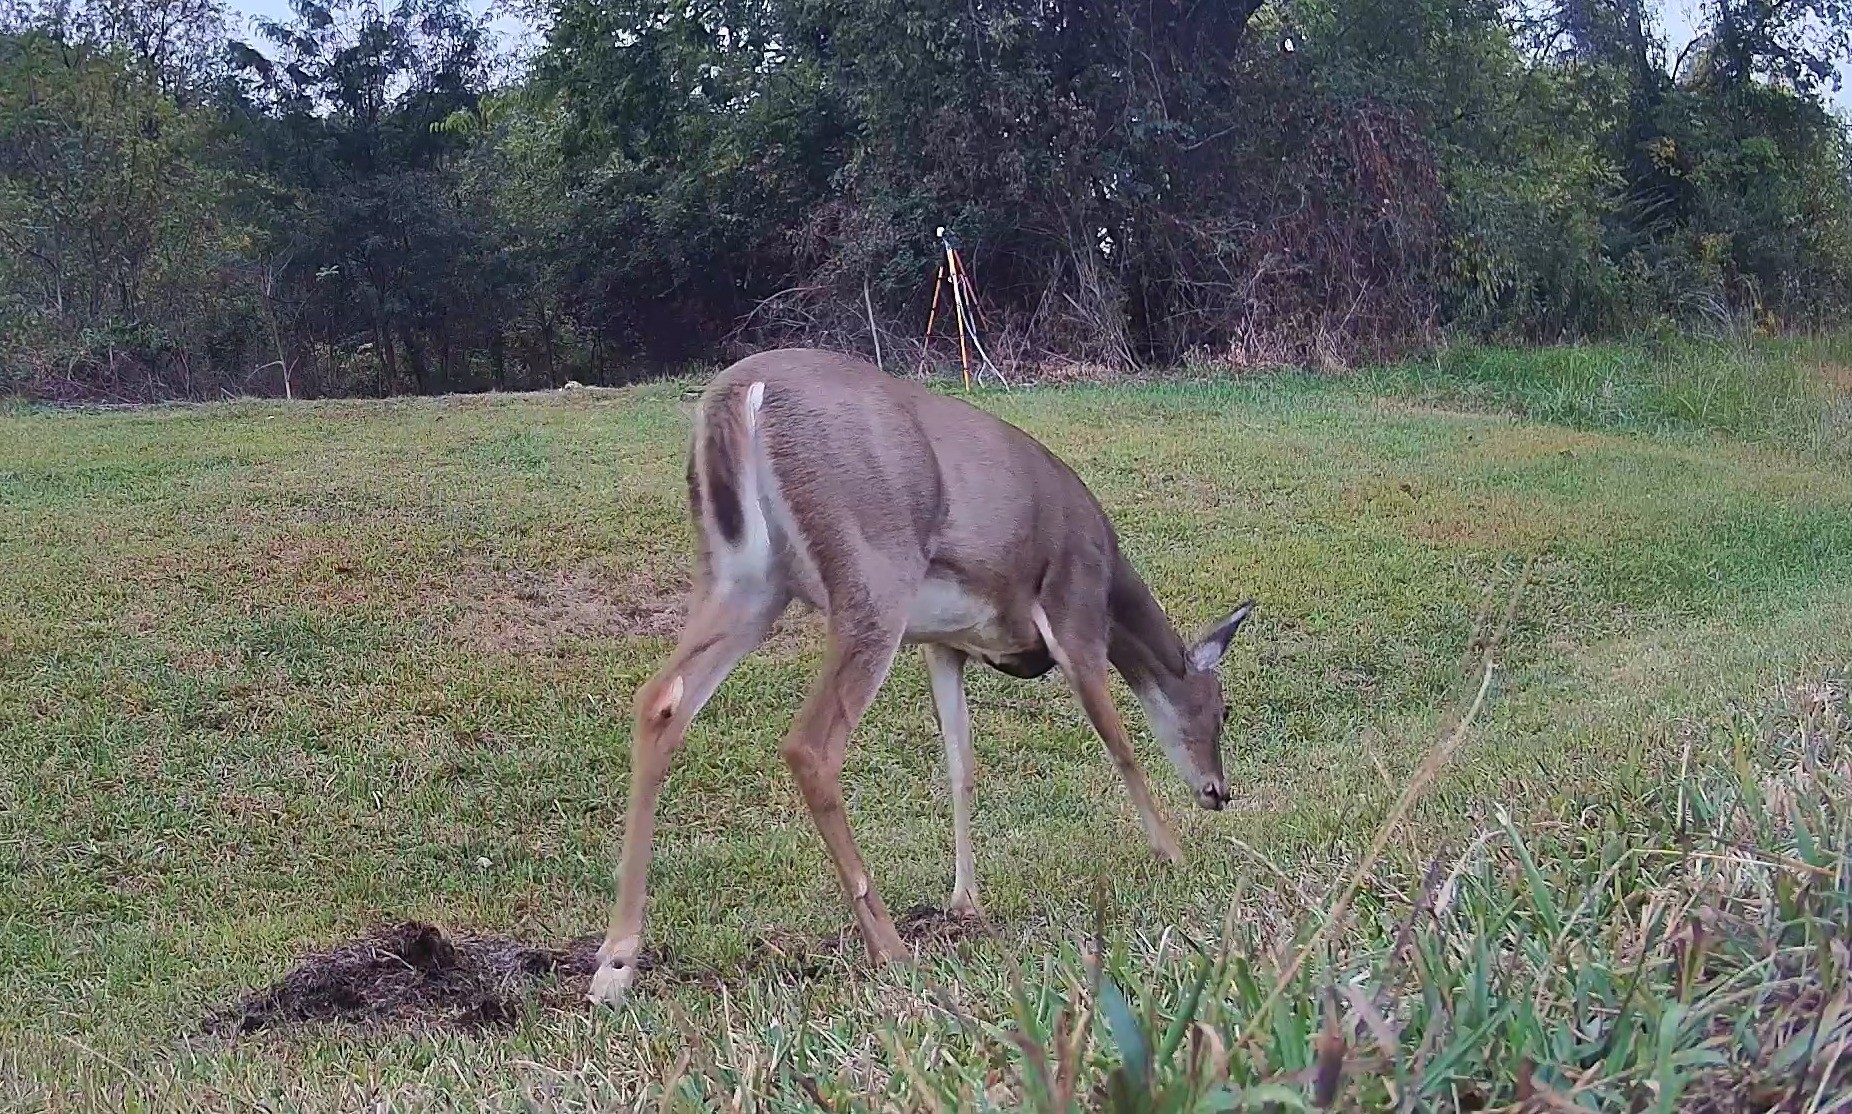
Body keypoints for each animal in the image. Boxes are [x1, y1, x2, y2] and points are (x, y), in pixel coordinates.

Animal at [589, 348, 1255, 1004]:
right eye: (1222, 709)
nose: (1219, 792)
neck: (1115, 590)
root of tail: (740, 393)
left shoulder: (944, 644)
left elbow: (961, 766)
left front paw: (965, 901)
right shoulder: (1073, 612)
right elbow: (1121, 745)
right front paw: (1173, 853)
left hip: (746, 579)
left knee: (661, 701)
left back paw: (615, 964)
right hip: (872, 575)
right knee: (810, 744)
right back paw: (889, 948)